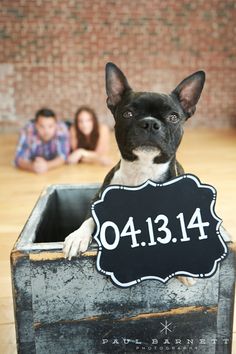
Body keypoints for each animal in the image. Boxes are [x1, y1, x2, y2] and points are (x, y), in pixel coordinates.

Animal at [64, 63, 229, 284]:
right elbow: (90, 218)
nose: (150, 123)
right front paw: (77, 236)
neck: (142, 170)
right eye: (127, 114)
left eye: (173, 117)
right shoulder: (98, 200)